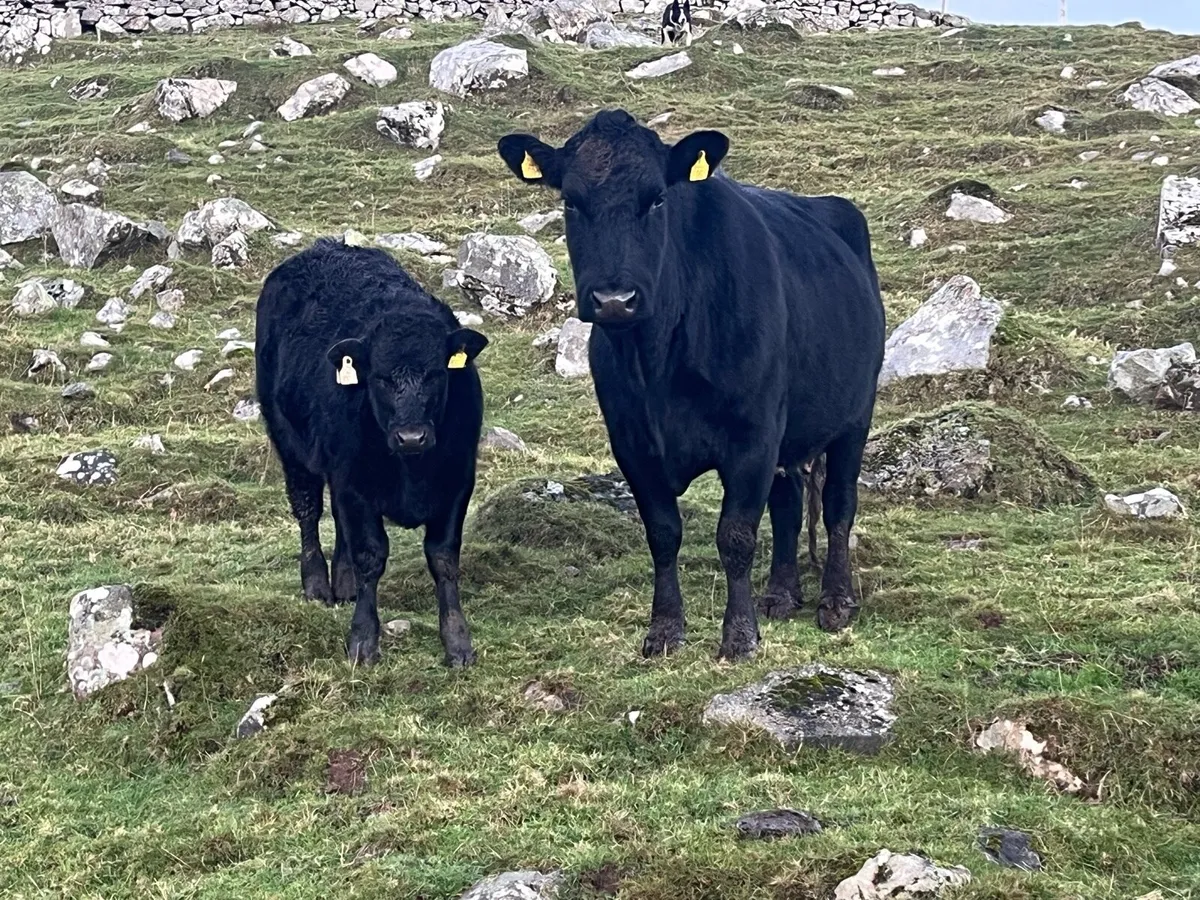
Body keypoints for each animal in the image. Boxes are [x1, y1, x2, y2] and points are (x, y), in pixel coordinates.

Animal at [255, 239, 488, 667]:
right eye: (380, 377)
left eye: (436, 374)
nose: (411, 437)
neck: (412, 471)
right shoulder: (356, 484)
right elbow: (371, 555)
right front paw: (363, 640)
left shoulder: (457, 483)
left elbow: (443, 559)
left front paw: (457, 643)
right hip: (289, 443)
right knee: (308, 508)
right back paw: (317, 584)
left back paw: (342, 582)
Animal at [497, 110, 884, 660]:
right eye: (570, 201)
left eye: (658, 198)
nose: (614, 300)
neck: (658, 364)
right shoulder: (633, 445)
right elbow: (663, 534)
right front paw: (664, 629)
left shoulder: (752, 437)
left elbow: (736, 536)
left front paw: (739, 636)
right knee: (788, 508)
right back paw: (780, 595)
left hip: (855, 416)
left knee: (838, 506)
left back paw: (835, 601)